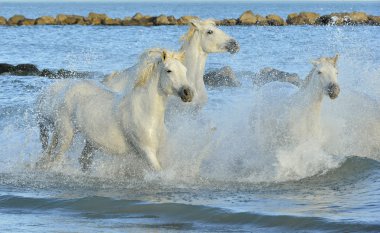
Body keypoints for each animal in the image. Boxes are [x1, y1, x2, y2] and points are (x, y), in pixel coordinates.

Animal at [37, 50, 193, 171]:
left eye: (185, 70)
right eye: (169, 70)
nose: (188, 93)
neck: (147, 115)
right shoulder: (147, 152)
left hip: (88, 141)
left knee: (80, 160)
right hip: (66, 135)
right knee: (55, 159)